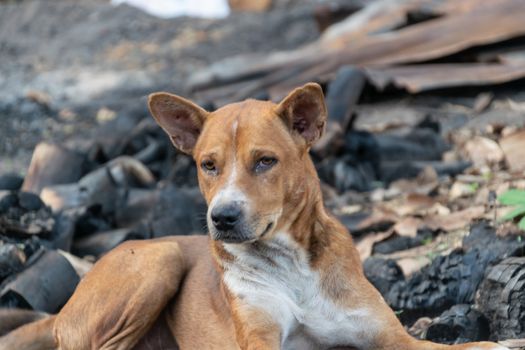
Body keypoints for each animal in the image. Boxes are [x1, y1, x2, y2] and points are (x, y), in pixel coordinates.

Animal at [0, 84, 508, 350]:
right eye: (208, 165)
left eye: (265, 161)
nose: (222, 217)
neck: (293, 262)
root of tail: (64, 306)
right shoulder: (261, 341)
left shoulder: (394, 339)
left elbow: (470, 347)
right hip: (160, 258)